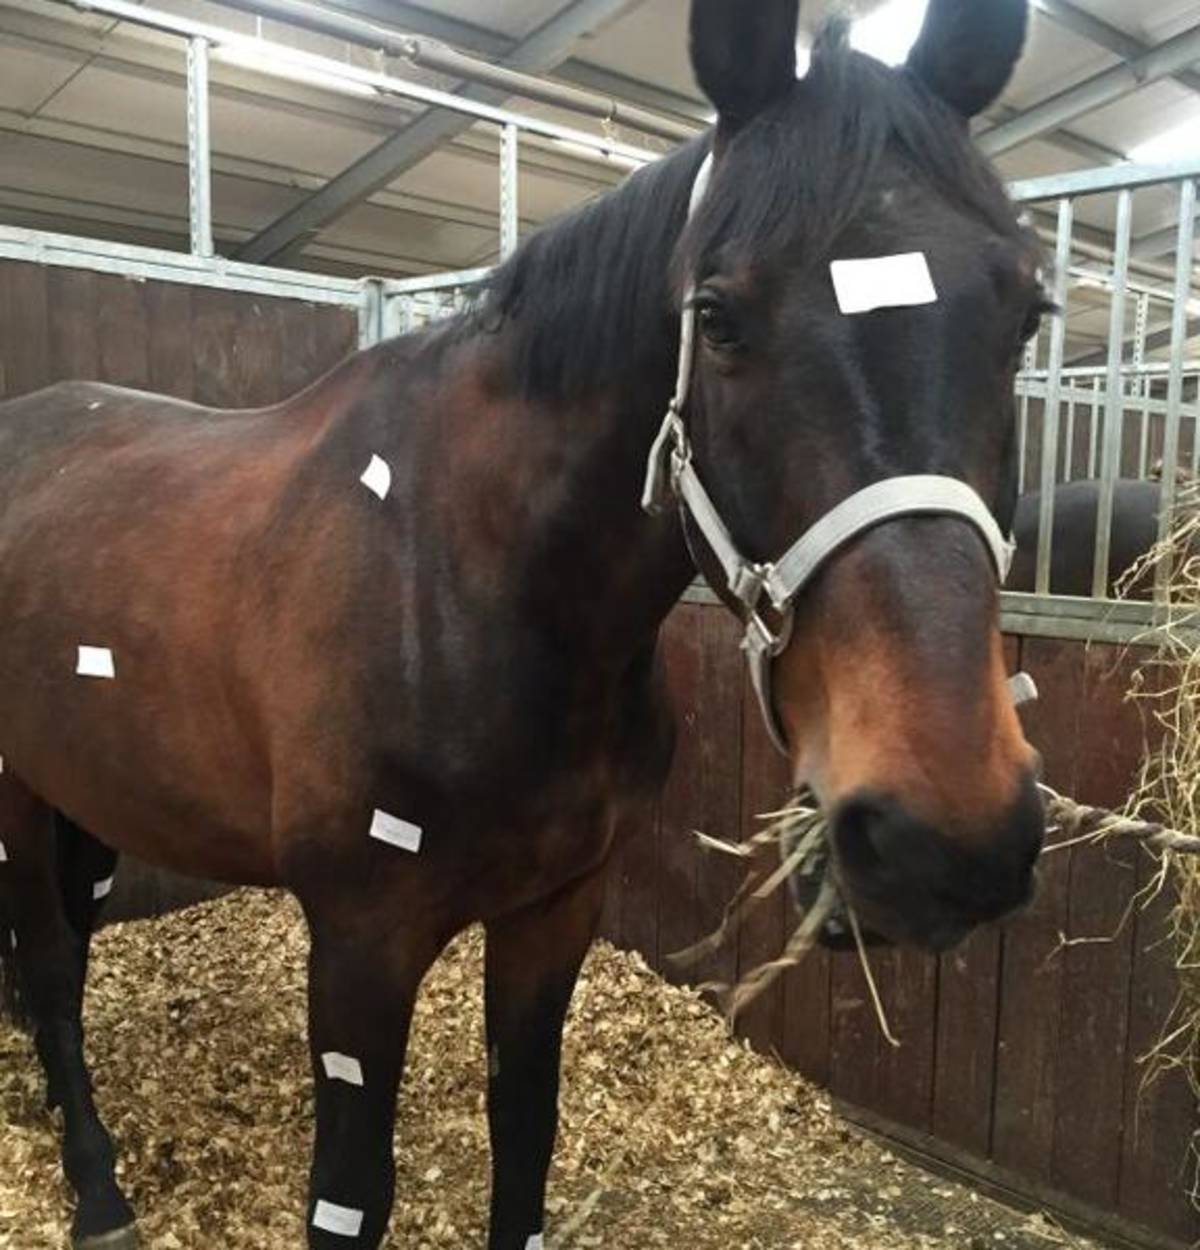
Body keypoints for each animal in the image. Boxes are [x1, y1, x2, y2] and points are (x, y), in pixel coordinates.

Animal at [0, 2, 1048, 1246]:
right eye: (718, 317)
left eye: (1027, 316)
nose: (946, 835)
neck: (469, 587)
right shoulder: (359, 939)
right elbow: (350, 1194)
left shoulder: (557, 909)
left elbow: (527, 1132)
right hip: (20, 789)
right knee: (51, 968)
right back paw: (99, 1187)